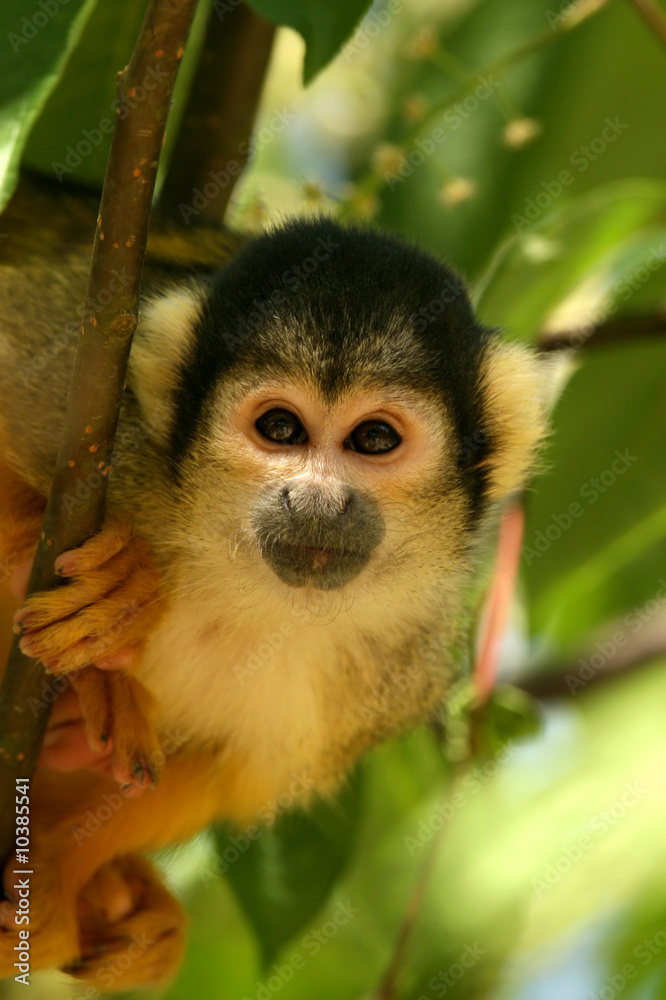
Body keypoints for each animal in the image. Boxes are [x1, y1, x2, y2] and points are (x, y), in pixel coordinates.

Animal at [0, 173, 562, 992]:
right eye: (281, 429)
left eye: (374, 439)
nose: (317, 501)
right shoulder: (82, 378)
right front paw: (112, 587)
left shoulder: (391, 664)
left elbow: (218, 764)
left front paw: (47, 871)